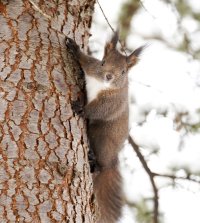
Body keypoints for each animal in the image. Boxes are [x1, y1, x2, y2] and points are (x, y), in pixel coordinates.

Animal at [66, 31, 145, 223]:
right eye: (103, 62)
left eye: (123, 72)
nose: (109, 76)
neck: (103, 84)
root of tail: (112, 158)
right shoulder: (92, 68)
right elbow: (86, 61)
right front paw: (75, 49)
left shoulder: (111, 102)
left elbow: (98, 110)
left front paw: (81, 109)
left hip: (101, 138)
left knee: (101, 165)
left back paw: (94, 161)